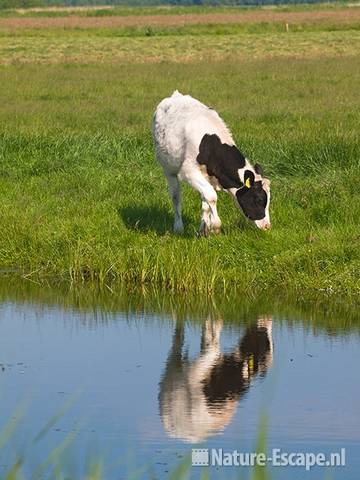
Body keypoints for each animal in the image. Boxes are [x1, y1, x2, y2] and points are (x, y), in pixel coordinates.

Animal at [151, 91, 270, 235]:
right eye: (258, 199)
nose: (267, 226)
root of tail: (176, 95)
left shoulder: (210, 177)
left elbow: (206, 201)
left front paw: (205, 229)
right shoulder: (188, 172)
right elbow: (212, 197)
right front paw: (216, 226)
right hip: (169, 169)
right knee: (176, 197)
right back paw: (178, 228)